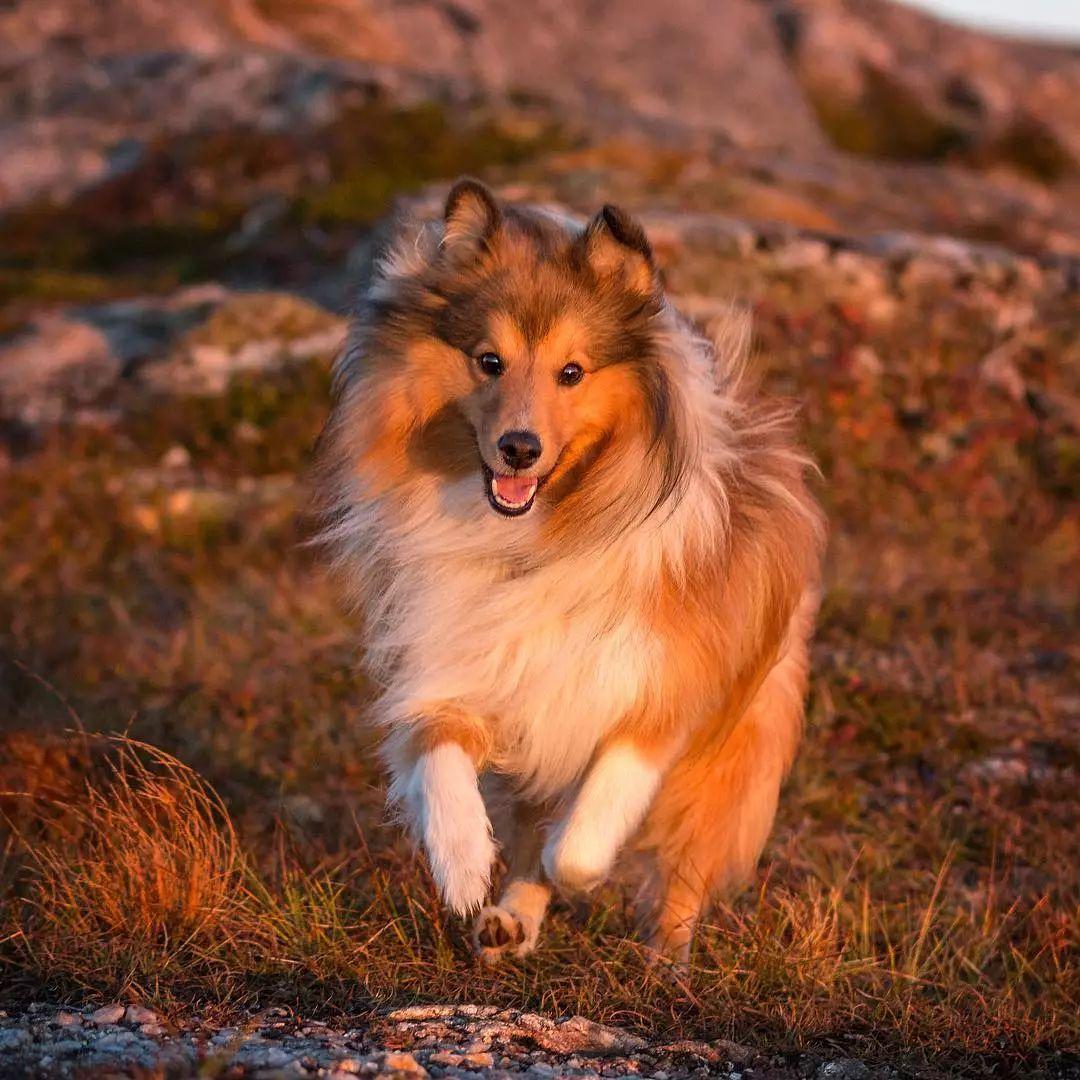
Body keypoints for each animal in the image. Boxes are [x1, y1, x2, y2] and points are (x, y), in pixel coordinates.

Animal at [315, 177, 820, 963]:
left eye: (573, 372)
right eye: (488, 361)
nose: (518, 448)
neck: (538, 538)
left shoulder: (656, 691)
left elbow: (582, 841)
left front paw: (573, 866)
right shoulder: (458, 666)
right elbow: (440, 754)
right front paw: (464, 867)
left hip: (744, 739)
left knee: (686, 862)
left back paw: (665, 959)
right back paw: (510, 919)